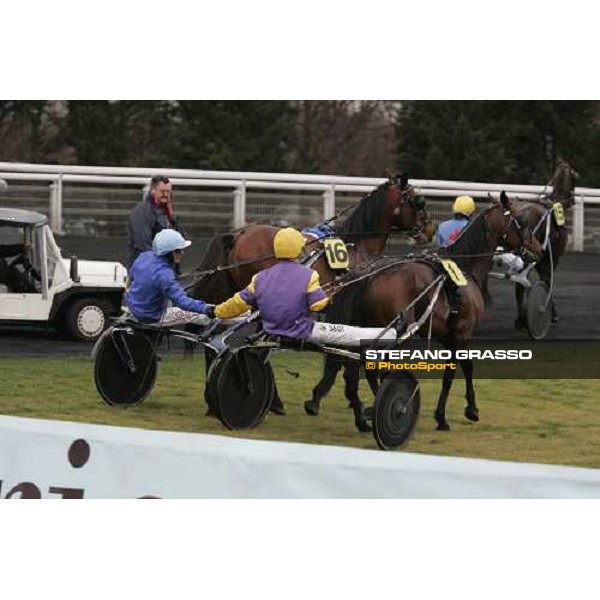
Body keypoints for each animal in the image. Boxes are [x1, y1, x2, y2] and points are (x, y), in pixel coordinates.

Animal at [308, 192, 540, 432]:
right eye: (522, 222)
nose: (538, 249)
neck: (463, 267)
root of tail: (368, 273)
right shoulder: (461, 332)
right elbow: (459, 371)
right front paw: (452, 414)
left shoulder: (447, 335)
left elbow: (461, 367)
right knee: (370, 369)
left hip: (364, 328)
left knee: (354, 369)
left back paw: (362, 416)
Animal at [512, 159, 580, 328]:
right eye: (575, 178)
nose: (573, 200)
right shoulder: (551, 258)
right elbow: (547, 281)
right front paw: (551, 313)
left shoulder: (540, 259)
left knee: (518, 284)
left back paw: (520, 319)